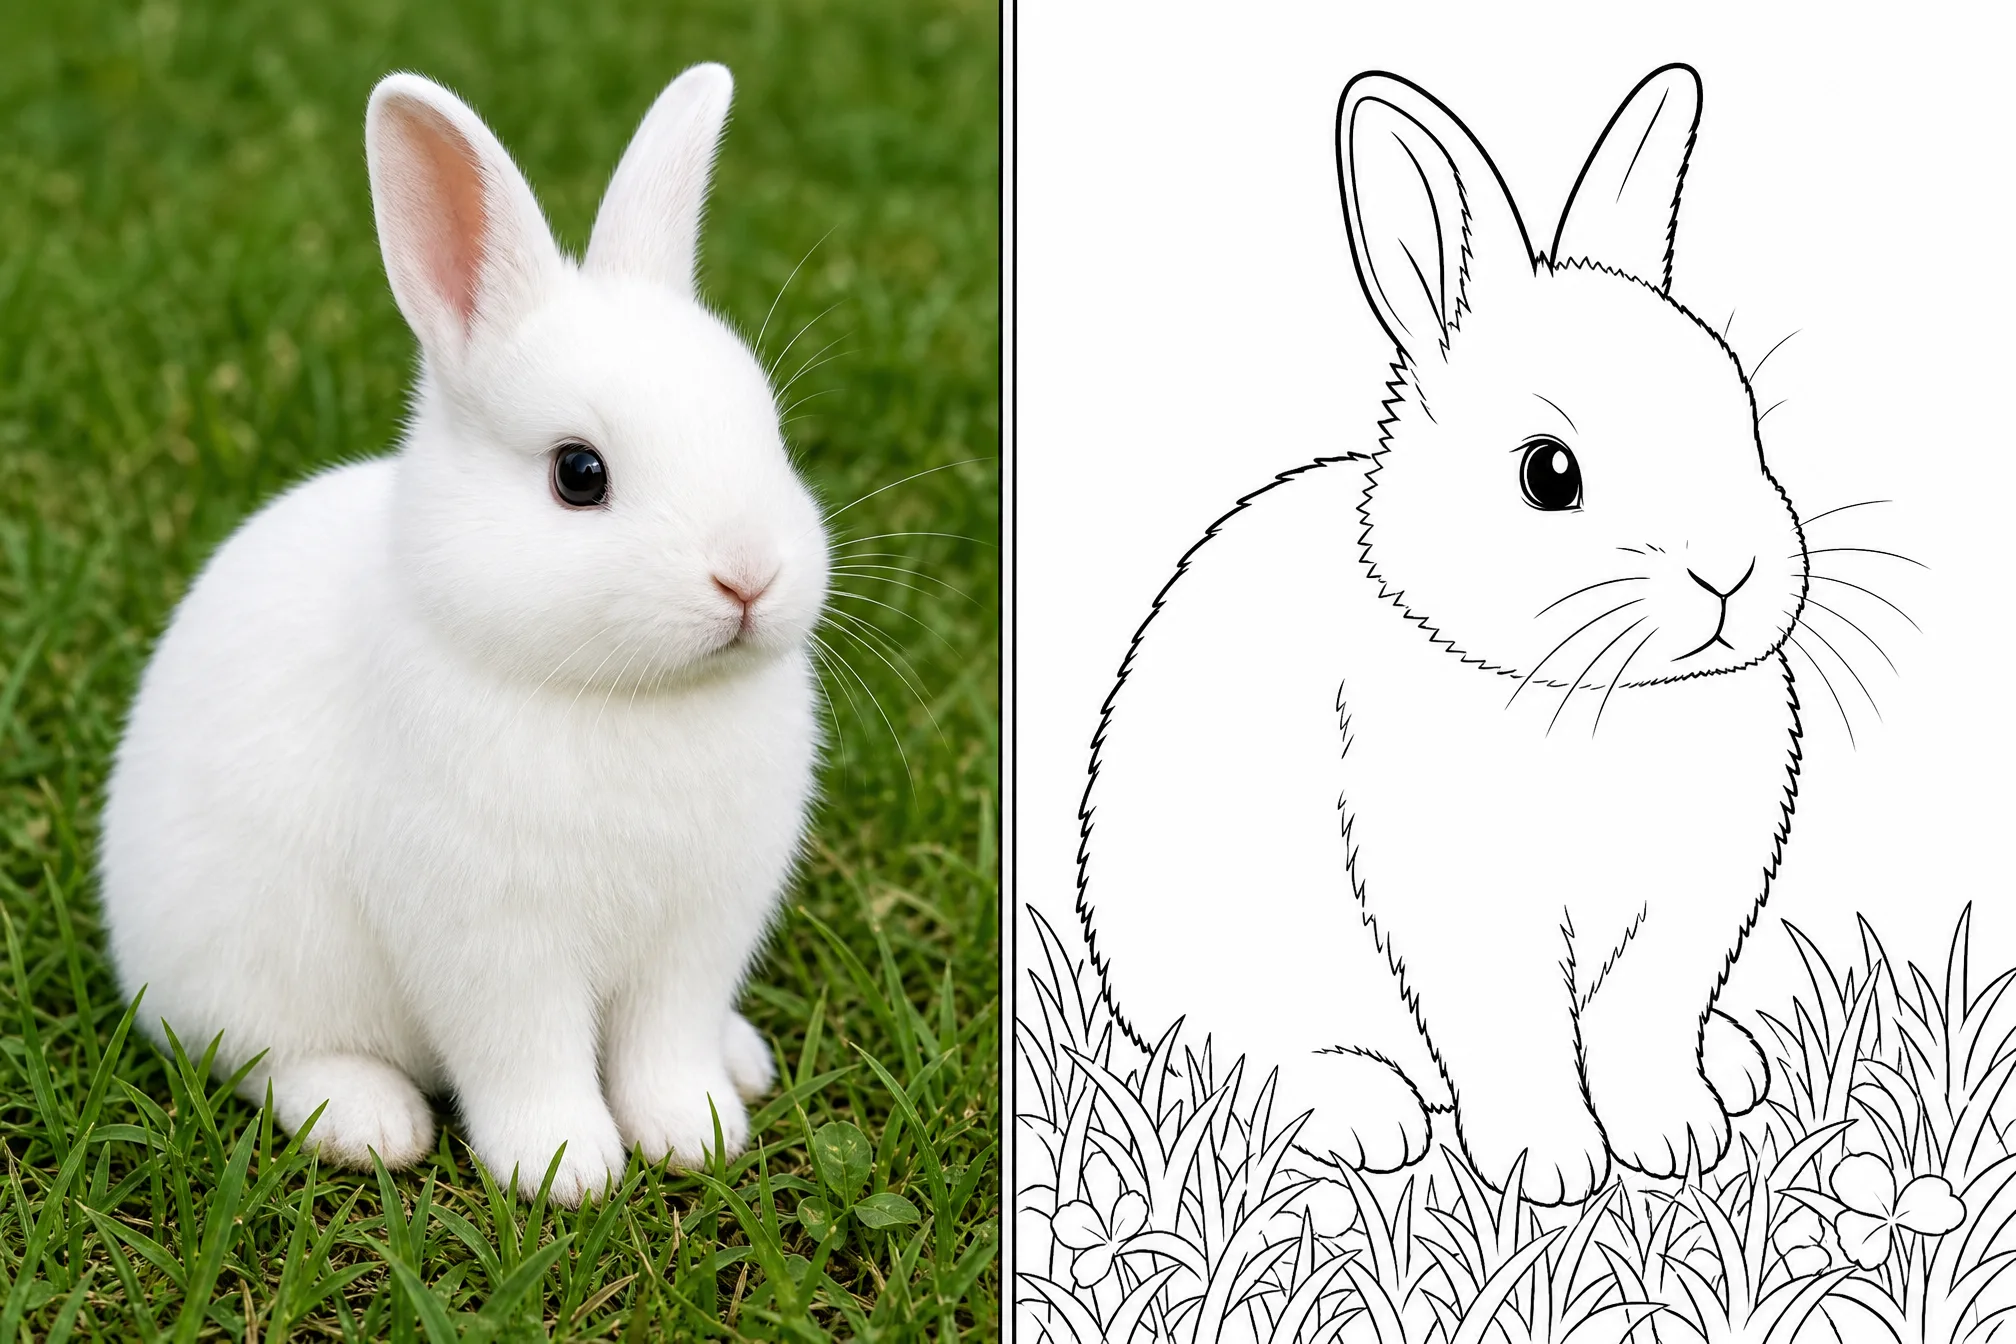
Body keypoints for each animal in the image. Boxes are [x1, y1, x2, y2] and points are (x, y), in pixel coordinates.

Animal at [96, 64, 831, 1207]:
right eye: (580, 473)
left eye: (768, 430)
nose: (749, 577)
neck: (630, 695)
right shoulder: (491, 943)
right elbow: (525, 1056)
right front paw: (566, 1169)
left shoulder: (697, 938)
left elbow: (664, 1047)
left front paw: (696, 1132)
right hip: (246, 969)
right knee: (265, 1057)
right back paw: (372, 1121)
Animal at [1078, 65, 1804, 1205]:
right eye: (1549, 474)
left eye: (1746, 422)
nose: (1728, 574)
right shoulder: (1468, 907)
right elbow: (1518, 1034)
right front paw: (1554, 1169)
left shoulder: (1687, 911)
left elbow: (1644, 1028)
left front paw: (1678, 1136)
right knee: (1233, 1054)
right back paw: (1367, 1115)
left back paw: (1733, 1060)